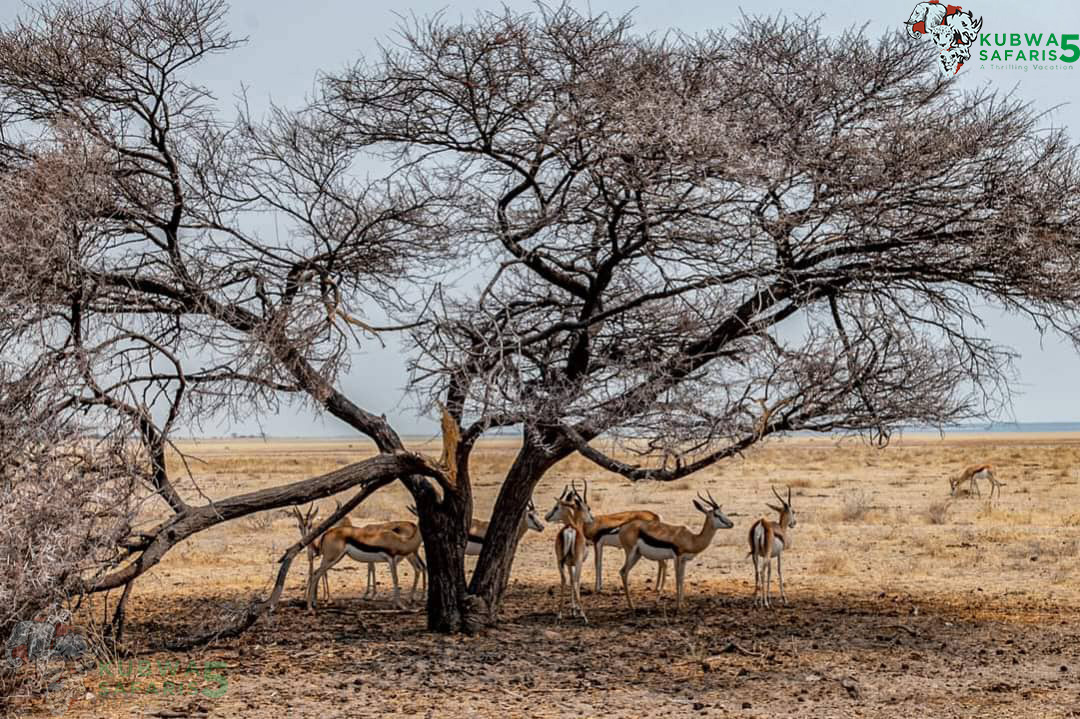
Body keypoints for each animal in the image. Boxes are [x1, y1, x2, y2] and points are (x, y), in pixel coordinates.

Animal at [552, 479, 596, 617]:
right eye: (588, 508)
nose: (592, 519)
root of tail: (570, 530)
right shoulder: (577, 562)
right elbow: (576, 581)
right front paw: (575, 609)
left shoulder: (568, 563)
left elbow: (570, 580)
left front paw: (572, 609)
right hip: (577, 561)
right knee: (576, 580)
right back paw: (583, 615)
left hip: (559, 561)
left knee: (563, 579)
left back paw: (559, 614)